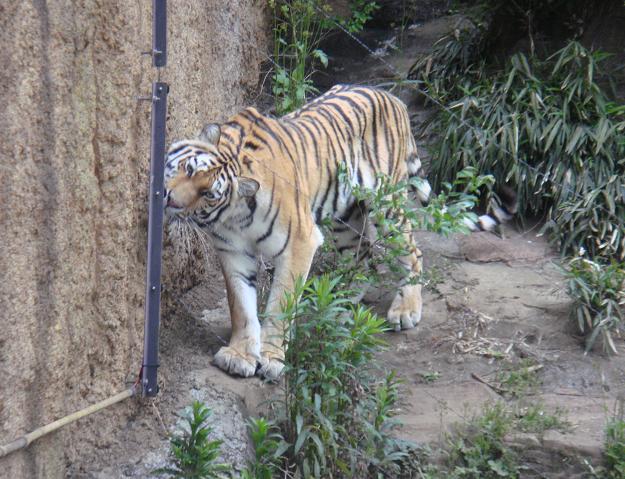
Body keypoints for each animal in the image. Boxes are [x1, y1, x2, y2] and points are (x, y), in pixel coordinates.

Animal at [164, 84, 425, 380]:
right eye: (188, 169)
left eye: (207, 194)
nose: (171, 200)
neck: (234, 216)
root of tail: (392, 97)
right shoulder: (233, 250)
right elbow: (241, 305)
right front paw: (239, 356)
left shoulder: (299, 242)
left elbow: (281, 305)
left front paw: (271, 358)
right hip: (345, 217)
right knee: (364, 257)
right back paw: (336, 308)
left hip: (386, 204)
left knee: (412, 251)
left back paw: (405, 310)